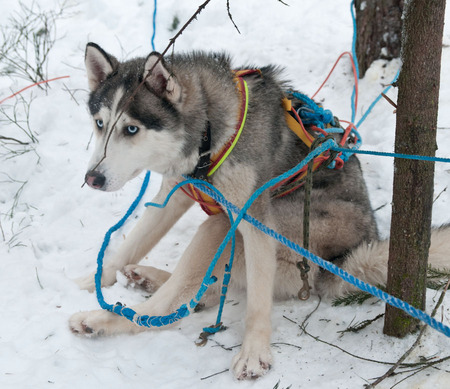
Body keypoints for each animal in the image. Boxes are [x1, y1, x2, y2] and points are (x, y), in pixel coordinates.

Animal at [69, 43, 450, 378]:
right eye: (100, 124)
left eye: (131, 129)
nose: (92, 178)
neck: (210, 131)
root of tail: (344, 261)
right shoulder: (173, 194)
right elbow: (133, 242)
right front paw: (94, 279)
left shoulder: (252, 220)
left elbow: (256, 302)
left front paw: (253, 352)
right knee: (197, 289)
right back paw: (145, 278)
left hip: (232, 225)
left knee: (170, 303)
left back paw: (105, 319)